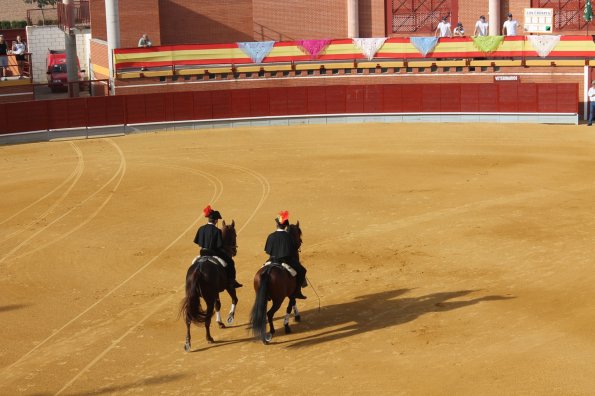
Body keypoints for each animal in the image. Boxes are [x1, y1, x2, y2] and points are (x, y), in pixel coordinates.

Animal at [180, 220, 239, 352]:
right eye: (235, 235)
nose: (234, 251)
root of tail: (198, 270)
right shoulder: (229, 286)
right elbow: (234, 299)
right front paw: (230, 318)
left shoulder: (215, 293)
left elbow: (218, 305)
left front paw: (220, 322)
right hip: (208, 298)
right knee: (207, 318)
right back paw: (209, 338)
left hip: (192, 297)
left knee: (188, 319)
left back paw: (187, 343)